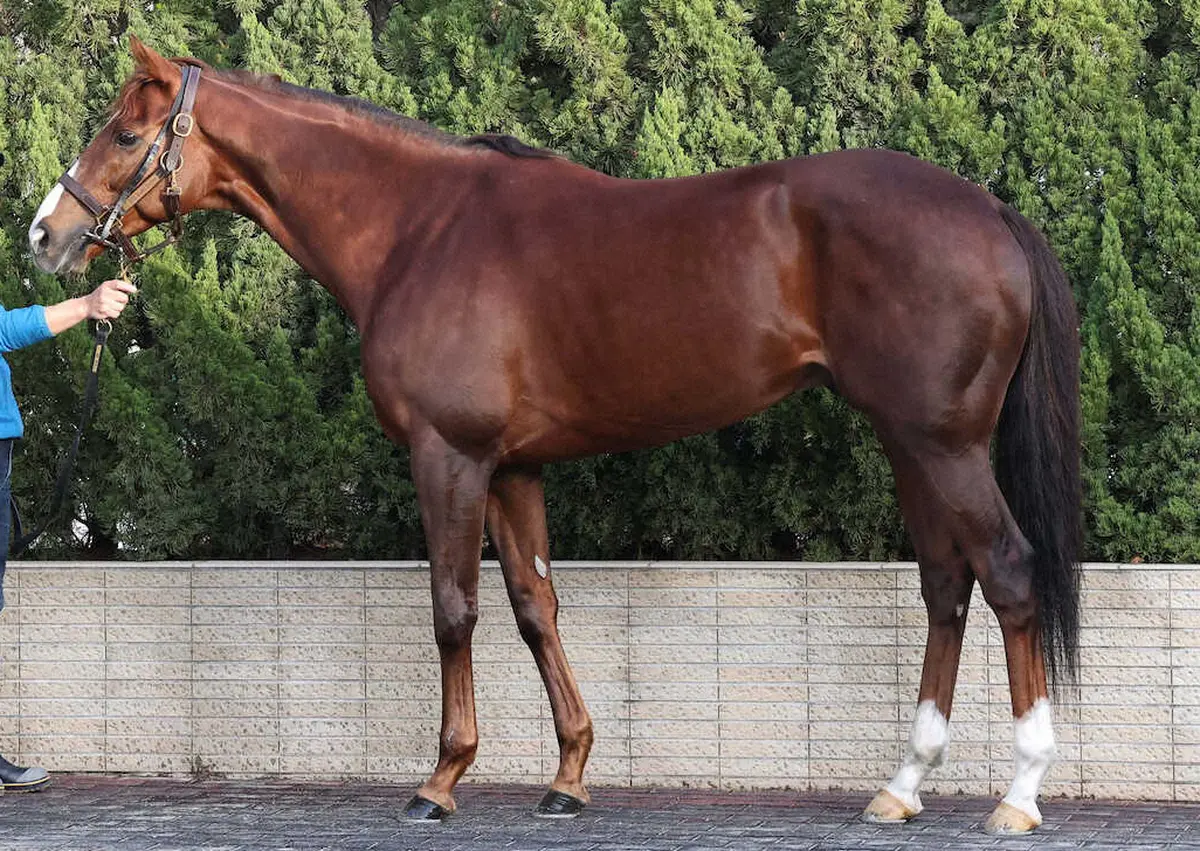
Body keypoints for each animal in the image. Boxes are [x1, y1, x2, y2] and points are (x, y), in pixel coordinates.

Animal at [28, 37, 1081, 835]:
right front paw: (568, 776)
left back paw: (1020, 794)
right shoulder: (514, 468)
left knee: (1008, 571)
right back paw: (900, 786)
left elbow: (455, 610)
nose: (44, 234)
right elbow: (538, 608)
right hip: (912, 443)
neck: (418, 230)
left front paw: (440, 780)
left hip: (943, 445)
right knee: (946, 587)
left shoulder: (448, 457)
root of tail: (991, 208)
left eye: (127, 133)